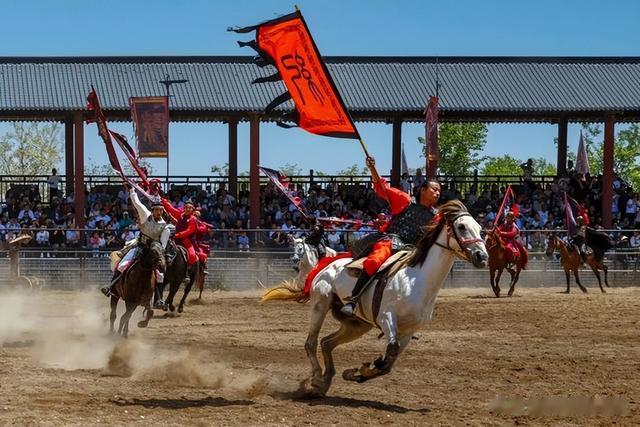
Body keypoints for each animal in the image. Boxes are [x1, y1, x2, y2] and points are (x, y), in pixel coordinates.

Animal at [262, 200, 488, 397]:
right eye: (461, 226)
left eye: (479, 228)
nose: (482, 257)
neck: (416, 280)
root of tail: (325, 265)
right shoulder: (386, 318)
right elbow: (390, 352)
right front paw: (362, 370)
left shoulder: (408, 331)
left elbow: (389, 361)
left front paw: (357, 372)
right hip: (320, 304)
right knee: (311, 343)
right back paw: (318, 378)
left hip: (357, 325)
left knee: (326, 343)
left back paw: (325, 381)